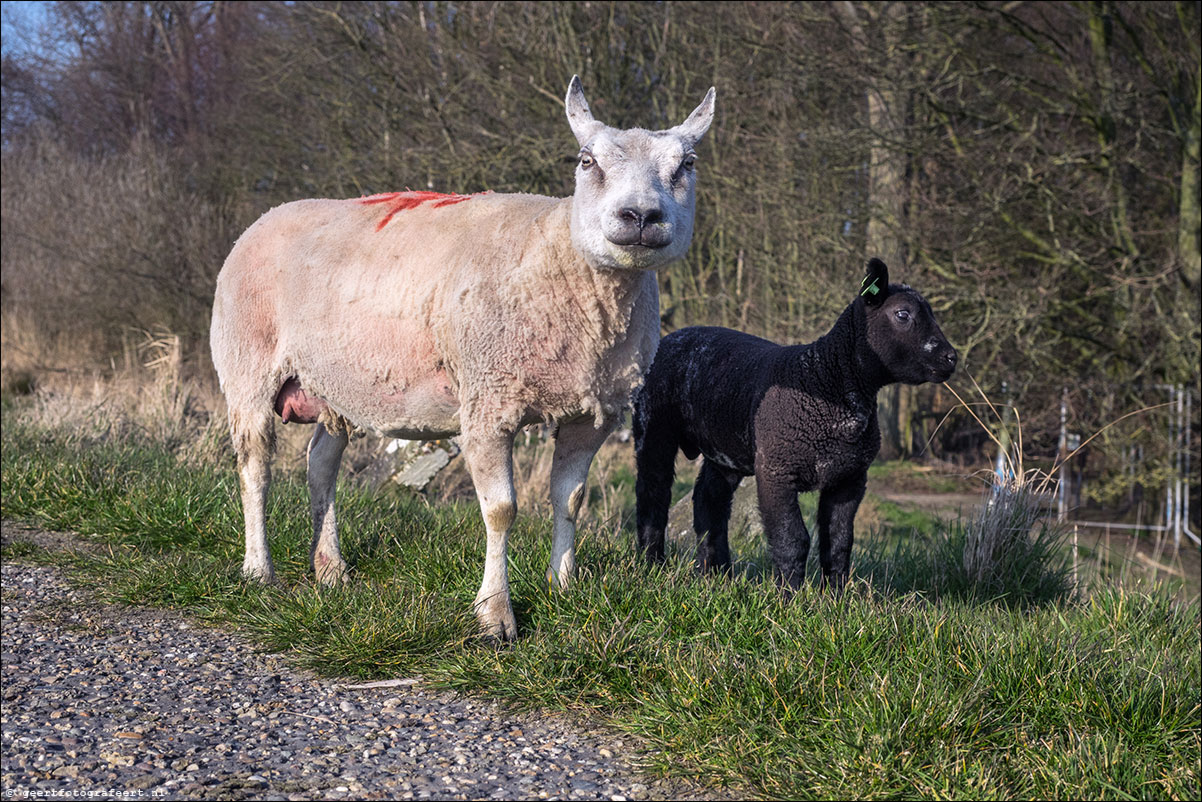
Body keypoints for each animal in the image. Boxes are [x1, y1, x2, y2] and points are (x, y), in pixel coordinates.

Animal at [209, 75, 711, 639]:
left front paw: (563, 587)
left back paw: (331, 569)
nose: (640, 216)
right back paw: (259, 570)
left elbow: (571, 499)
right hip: (247, 366)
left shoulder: (593, 414)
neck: (557, 257)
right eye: (587, 161)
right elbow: (501, 510)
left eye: (686, 165)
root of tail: (267, 217)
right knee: (255, 467)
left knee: (321, 464)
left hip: (333, 385)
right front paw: (495, 615)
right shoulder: (489, 402)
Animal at [629, 260, 956, 593]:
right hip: (653, 426)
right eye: (903, 314)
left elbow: (839, 543)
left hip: (724, 449)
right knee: (653, 493)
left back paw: (715, 574)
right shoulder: (776, 470)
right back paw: (652, 563)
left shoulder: (849, 478)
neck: (829, 380)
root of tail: (671, 336)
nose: (951, 358)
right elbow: (792, 539)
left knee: (709, 500)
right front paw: (789, 597)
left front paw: (835, 597)